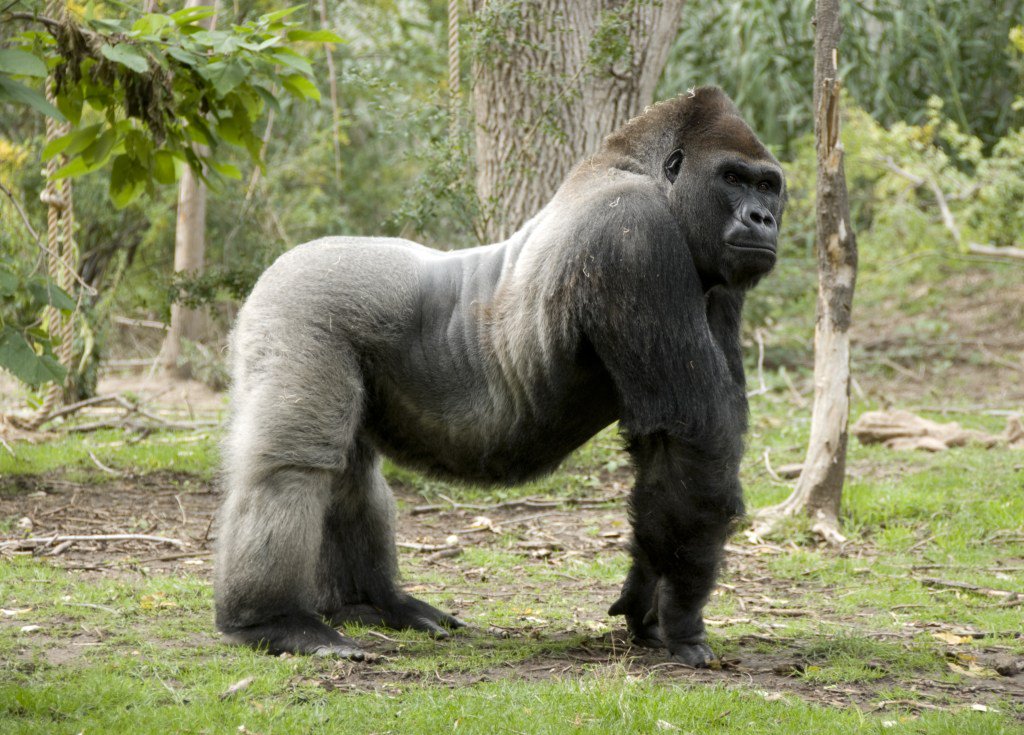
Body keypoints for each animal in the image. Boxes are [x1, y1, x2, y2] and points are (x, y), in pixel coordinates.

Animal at [214, 85, 785, 668]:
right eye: (732, 178)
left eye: (768, 185)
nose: (763, 218)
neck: (645, 174)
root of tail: (277, 267)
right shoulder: (636, 237)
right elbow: (691, 440)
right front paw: (681, 616)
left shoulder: (718, 279)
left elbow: (666, 461)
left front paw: (644, 597)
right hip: (295, 305)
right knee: (294, 467)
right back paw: (274, 621)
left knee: (350, 475)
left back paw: (374, 603)